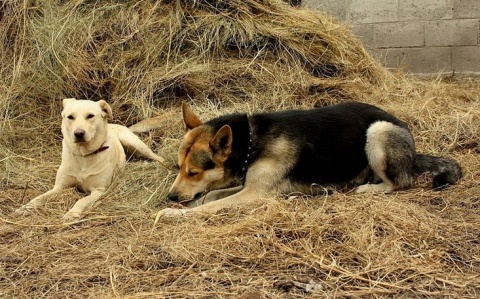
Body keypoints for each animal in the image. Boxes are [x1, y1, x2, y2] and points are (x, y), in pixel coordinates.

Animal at [15, 98, 165, 220]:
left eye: (90, 116)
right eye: (70, 117)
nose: (79, 133)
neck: (84, 155)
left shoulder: (98, 190)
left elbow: (81, 201)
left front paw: (72, 213)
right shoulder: (58, 187)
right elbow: (39, 198)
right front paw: (25, 207)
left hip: (135, 144)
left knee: (156, 157)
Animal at [160, 102, 462, 217]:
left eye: (193, 172)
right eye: (179, 168)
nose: (170, 197)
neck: (252, 141)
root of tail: (414, 150)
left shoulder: (254, 194)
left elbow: (209, 206)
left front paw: (175, 214)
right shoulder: (250, 186)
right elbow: (210, 197)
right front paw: (182, 206)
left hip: (377, 132)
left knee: (401, 182)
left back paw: (369, 189)